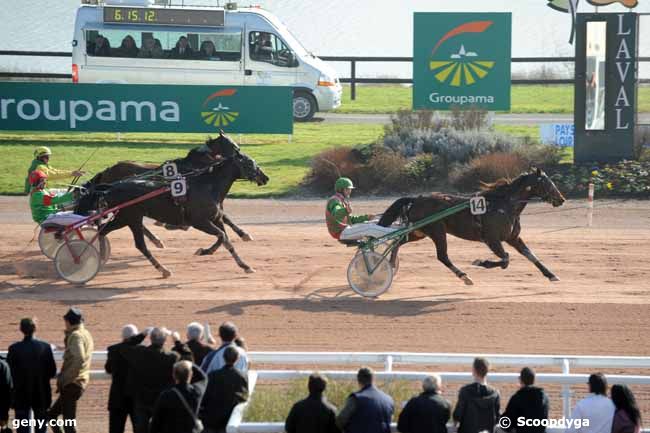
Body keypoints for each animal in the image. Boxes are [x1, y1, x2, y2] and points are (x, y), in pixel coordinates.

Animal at [76, 145, 268, 276]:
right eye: (250, 163)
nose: (265, 177)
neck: (207, 185)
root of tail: (112, 187)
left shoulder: (215, 218)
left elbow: (224, 238)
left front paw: (236, 260)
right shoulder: (199, 221)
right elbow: (222, 236)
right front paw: (240, 264)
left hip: (128, 218)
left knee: (105, 232)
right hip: (128, 217)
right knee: (128, 240)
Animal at [87, 132, 254, 246]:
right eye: (232, 145)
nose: (240, 152)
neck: (195, 165)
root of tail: (107, 171)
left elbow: (223, 216)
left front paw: (243, 234)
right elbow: (224, 217)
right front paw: (244, 233)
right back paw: (156, 240)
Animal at [378, 167, 564, 286]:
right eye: (547, 183)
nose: (561, 199)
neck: (504, 205)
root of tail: (417, 198)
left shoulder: (513, 237)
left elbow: (531, 255)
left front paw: (551, 275)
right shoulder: (492, 239)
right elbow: (505, 259)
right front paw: (482, 262)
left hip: (418, 232)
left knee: (398, 242)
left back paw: (390, 264)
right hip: (437, 232)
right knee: (442, 256)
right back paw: (464, 276)